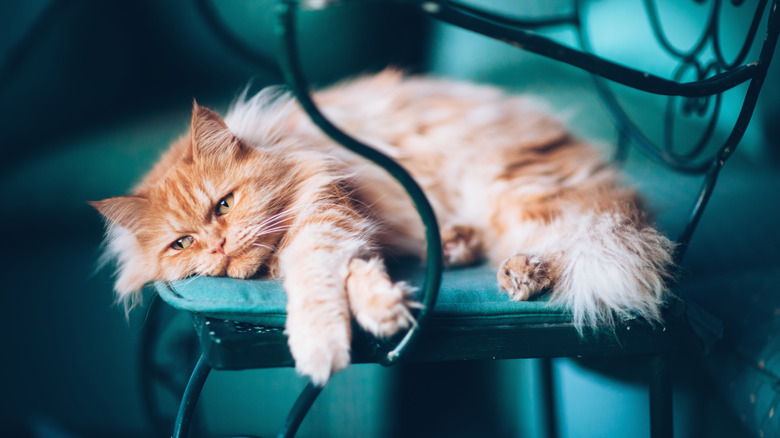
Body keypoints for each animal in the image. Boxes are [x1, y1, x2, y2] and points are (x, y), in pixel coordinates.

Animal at [91, 67, 676, 384]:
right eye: (182, 243)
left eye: (225, 205)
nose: (216, 246)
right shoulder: (347, 231)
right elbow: (353, 275)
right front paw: (383, 307)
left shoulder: (324, 213)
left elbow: (314, 285)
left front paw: (321, 348)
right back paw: (459, 246)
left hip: (513, 190)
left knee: (584, 234)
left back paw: (523, 273)